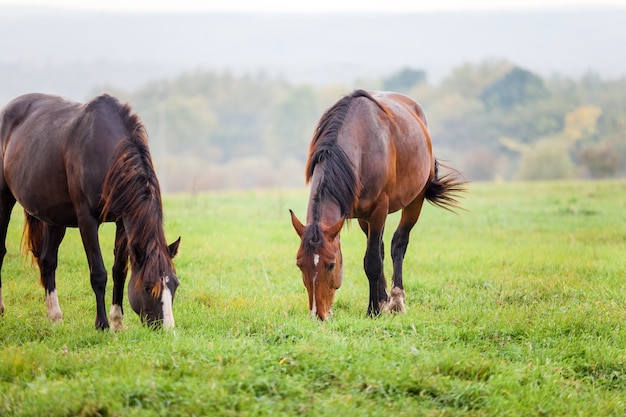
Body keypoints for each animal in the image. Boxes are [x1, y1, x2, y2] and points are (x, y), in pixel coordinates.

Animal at [0, 92, 180, 330]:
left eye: (175, 285)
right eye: (148, 286)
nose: (167, 329)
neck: (105, 152)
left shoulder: (122, 221)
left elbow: (119, 271)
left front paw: (117, 322)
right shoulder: (87, 220)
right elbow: (99, 274)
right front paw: (102, 324)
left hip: (55, 217)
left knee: (48, 261)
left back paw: (55, 316)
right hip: (4, 199)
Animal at [288, 89, 464, 320]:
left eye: (331, 264)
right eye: (299, 264)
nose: (319, 315)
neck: (361, 145)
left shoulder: (379, 210)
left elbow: (371, 261)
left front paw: (373, 310)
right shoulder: (361, 215)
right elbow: (375, 255)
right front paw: (378, 301)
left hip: (414, 201)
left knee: (398, 243)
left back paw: (396, 300)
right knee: (380, 247)